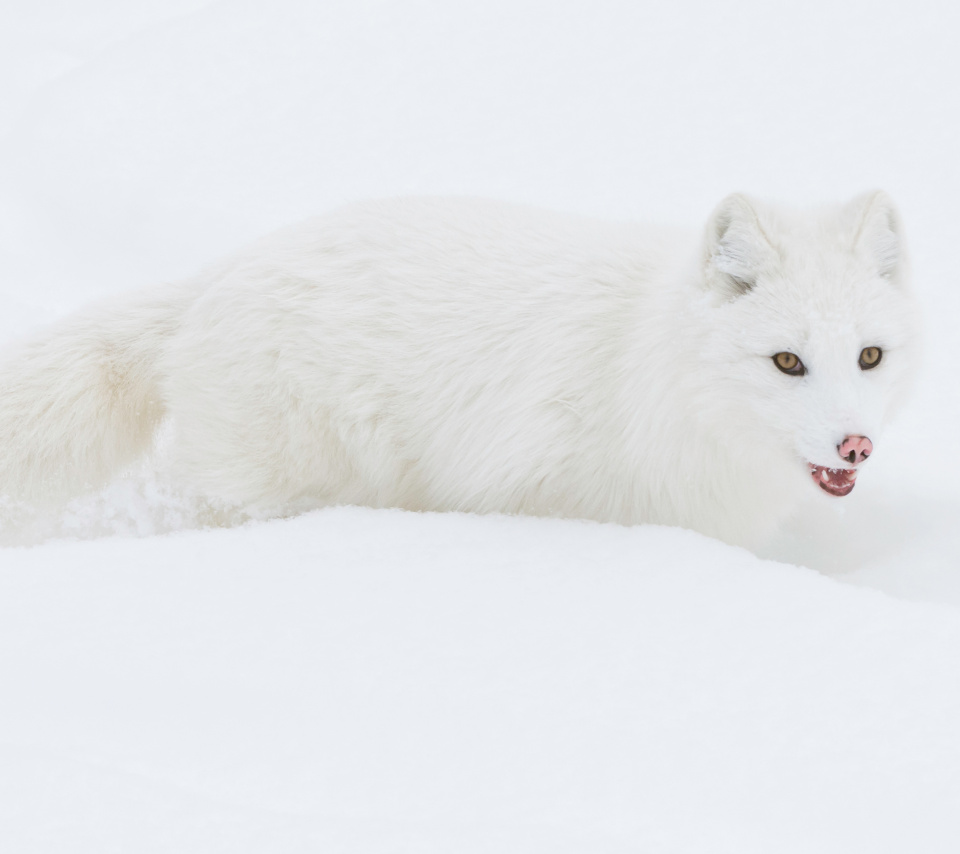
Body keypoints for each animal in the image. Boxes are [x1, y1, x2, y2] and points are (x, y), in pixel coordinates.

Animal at [0, 194, 920, 548]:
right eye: (788, 361)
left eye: (870, 356)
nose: (856, 446)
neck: (645, 367)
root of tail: (214, 277)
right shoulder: (527, 488)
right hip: (277, 484)